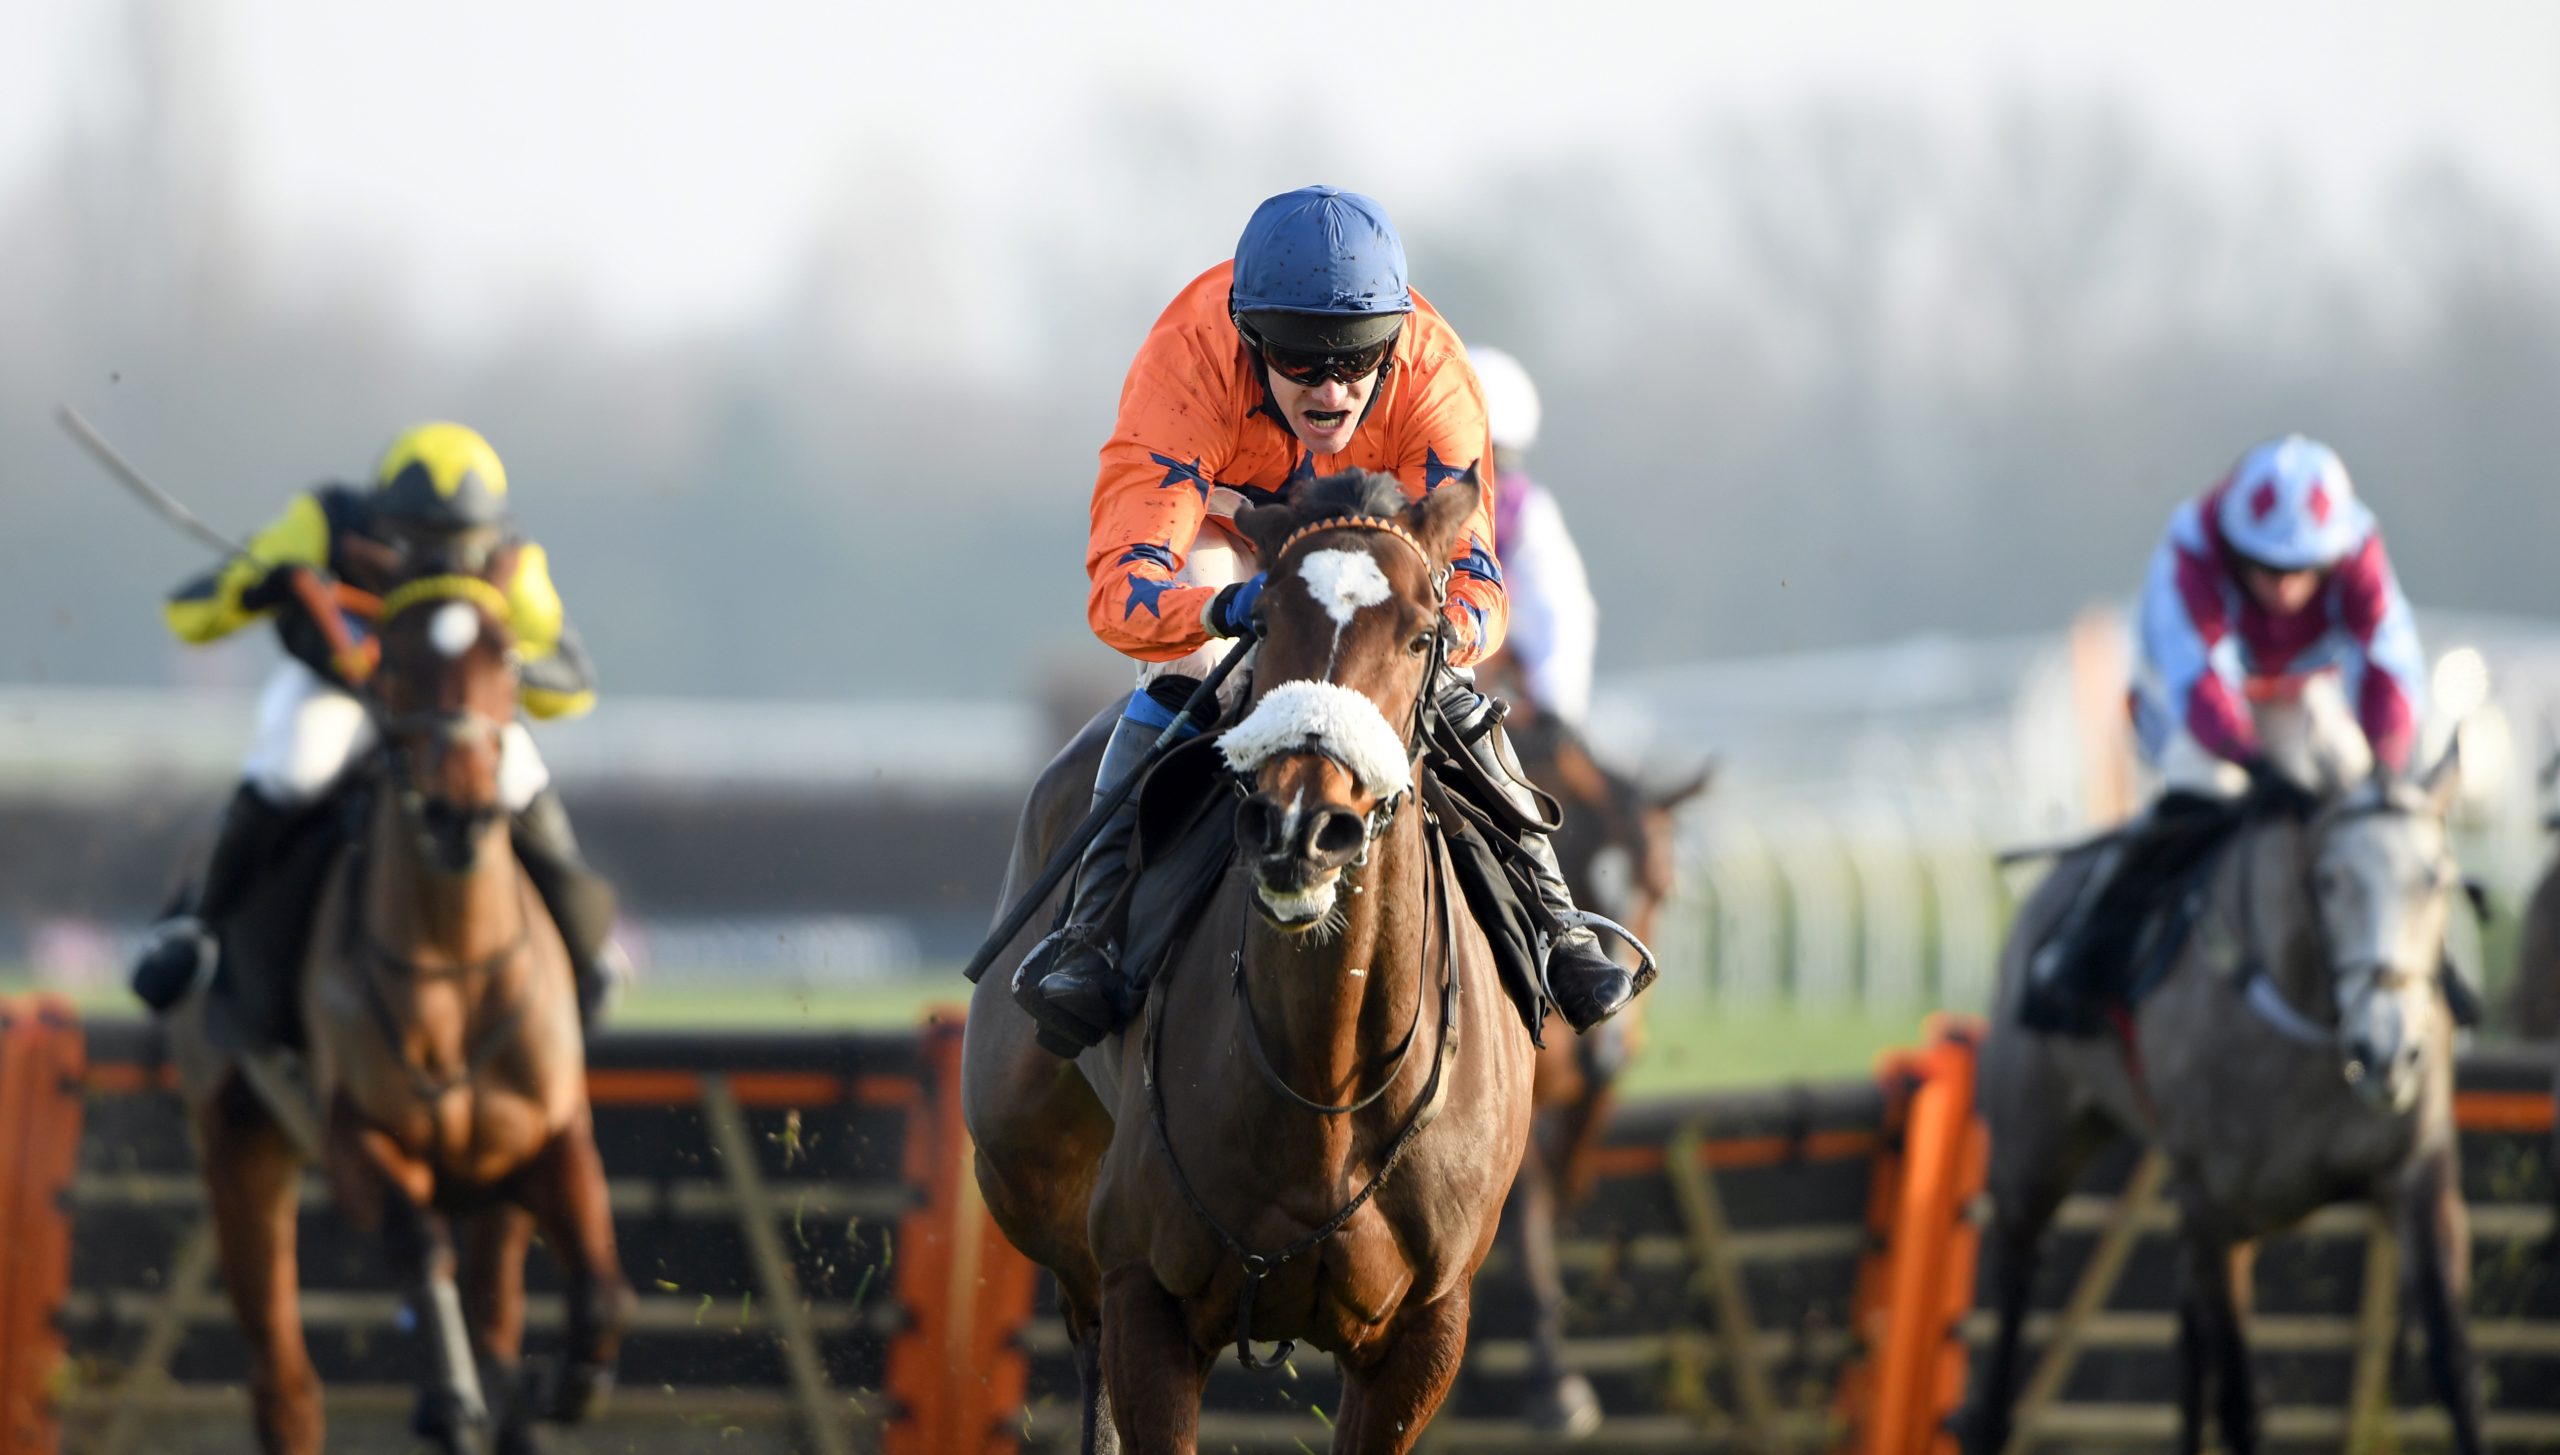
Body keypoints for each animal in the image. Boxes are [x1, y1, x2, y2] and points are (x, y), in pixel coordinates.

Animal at [168, 568, 624, 1455]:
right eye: (393, 657)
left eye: (507, 656)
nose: (458, 813)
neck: (451, 961)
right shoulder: (356, 1135)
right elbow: (416, 1245)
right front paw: (452, 1398)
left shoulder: (546, 1139)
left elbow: (597, 1287)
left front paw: (553, 1385)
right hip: (238, 1139)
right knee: (284, 1382)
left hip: (489, 1194)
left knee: (495, 1301)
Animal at [962, 471, 1536, 1444]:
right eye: (1262, 622)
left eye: (1423, 633)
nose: (1301, 826)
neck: (1324, 1079)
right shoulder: (1143, 1291)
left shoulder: (1425, 1327)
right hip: (1036, 1188)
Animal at [1955, 747, 2478, 1455]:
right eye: (2330, 880)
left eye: (2437, 880)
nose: (2388, 1050)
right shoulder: (2211, 1200)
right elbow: (2239, 1402)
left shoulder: (2416, 1172)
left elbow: (2454, 1368)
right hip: (2035, 1150)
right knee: (2018, 1270)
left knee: (2188, 1328)